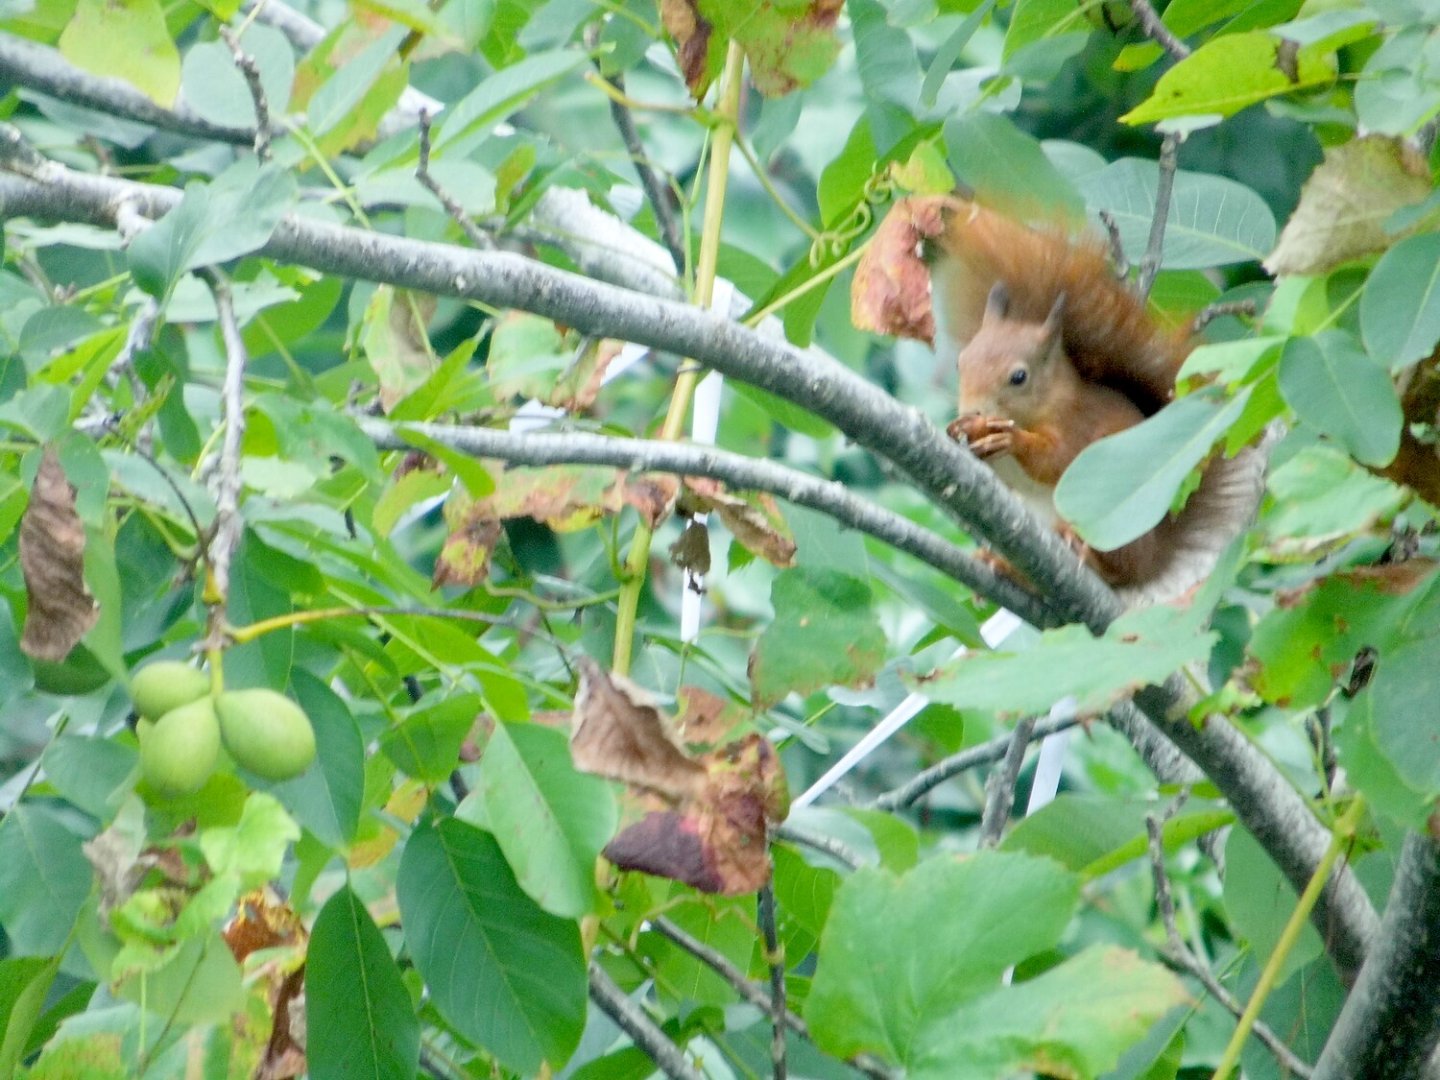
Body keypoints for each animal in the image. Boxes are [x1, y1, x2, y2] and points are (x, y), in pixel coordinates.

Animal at [850, 193, 1268, 606]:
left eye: (1019, 377)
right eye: (960, 362)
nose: (973, 410)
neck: (1047, 401)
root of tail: (1154, 558)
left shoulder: (1077, 422)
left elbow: (1057, 459)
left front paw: (1011, 439)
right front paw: (959, 432)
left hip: (1108, 518)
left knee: (1118, 569)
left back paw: (1085, 552)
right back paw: (999, 563)